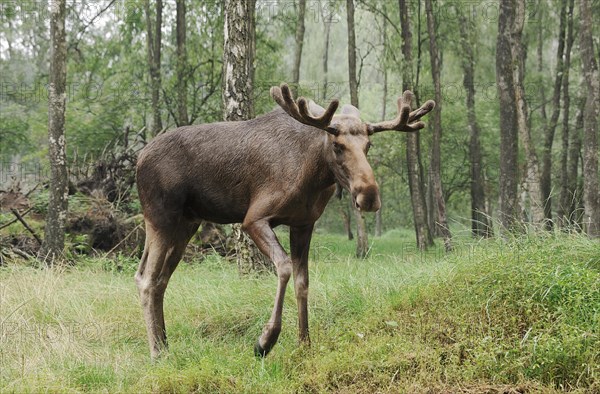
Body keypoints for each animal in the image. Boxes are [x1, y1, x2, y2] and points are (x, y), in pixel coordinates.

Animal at [136, 84, 436, 360]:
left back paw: (165, 344)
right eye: (337, 146)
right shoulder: (253, 218)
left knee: (158, 279)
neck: (313, 176)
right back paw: (156, 352)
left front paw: (304, 343)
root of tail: (138, 160)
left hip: (187, 224)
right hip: (161, 218)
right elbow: (284, 266)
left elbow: (303, 281)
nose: (369, 196)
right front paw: (266, 340)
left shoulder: (303, 223)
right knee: (147, 279)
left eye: (368, 145)